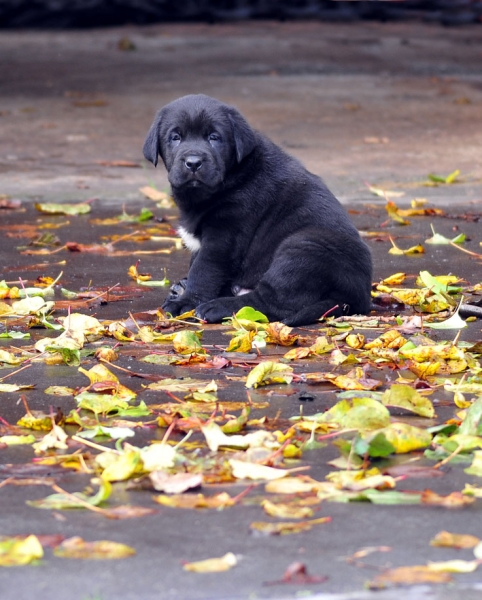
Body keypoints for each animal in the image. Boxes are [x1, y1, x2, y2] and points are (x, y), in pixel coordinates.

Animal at [143, 95, 372, 326]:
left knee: (271, 302)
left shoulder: (225, 234)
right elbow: (196, 265)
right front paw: (184, 289)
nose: (193, 163)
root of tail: (356, 300)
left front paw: (186, 302)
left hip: (304, 246)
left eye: (214, 137)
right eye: (175, 137)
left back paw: (216, 307)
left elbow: (203, 269)